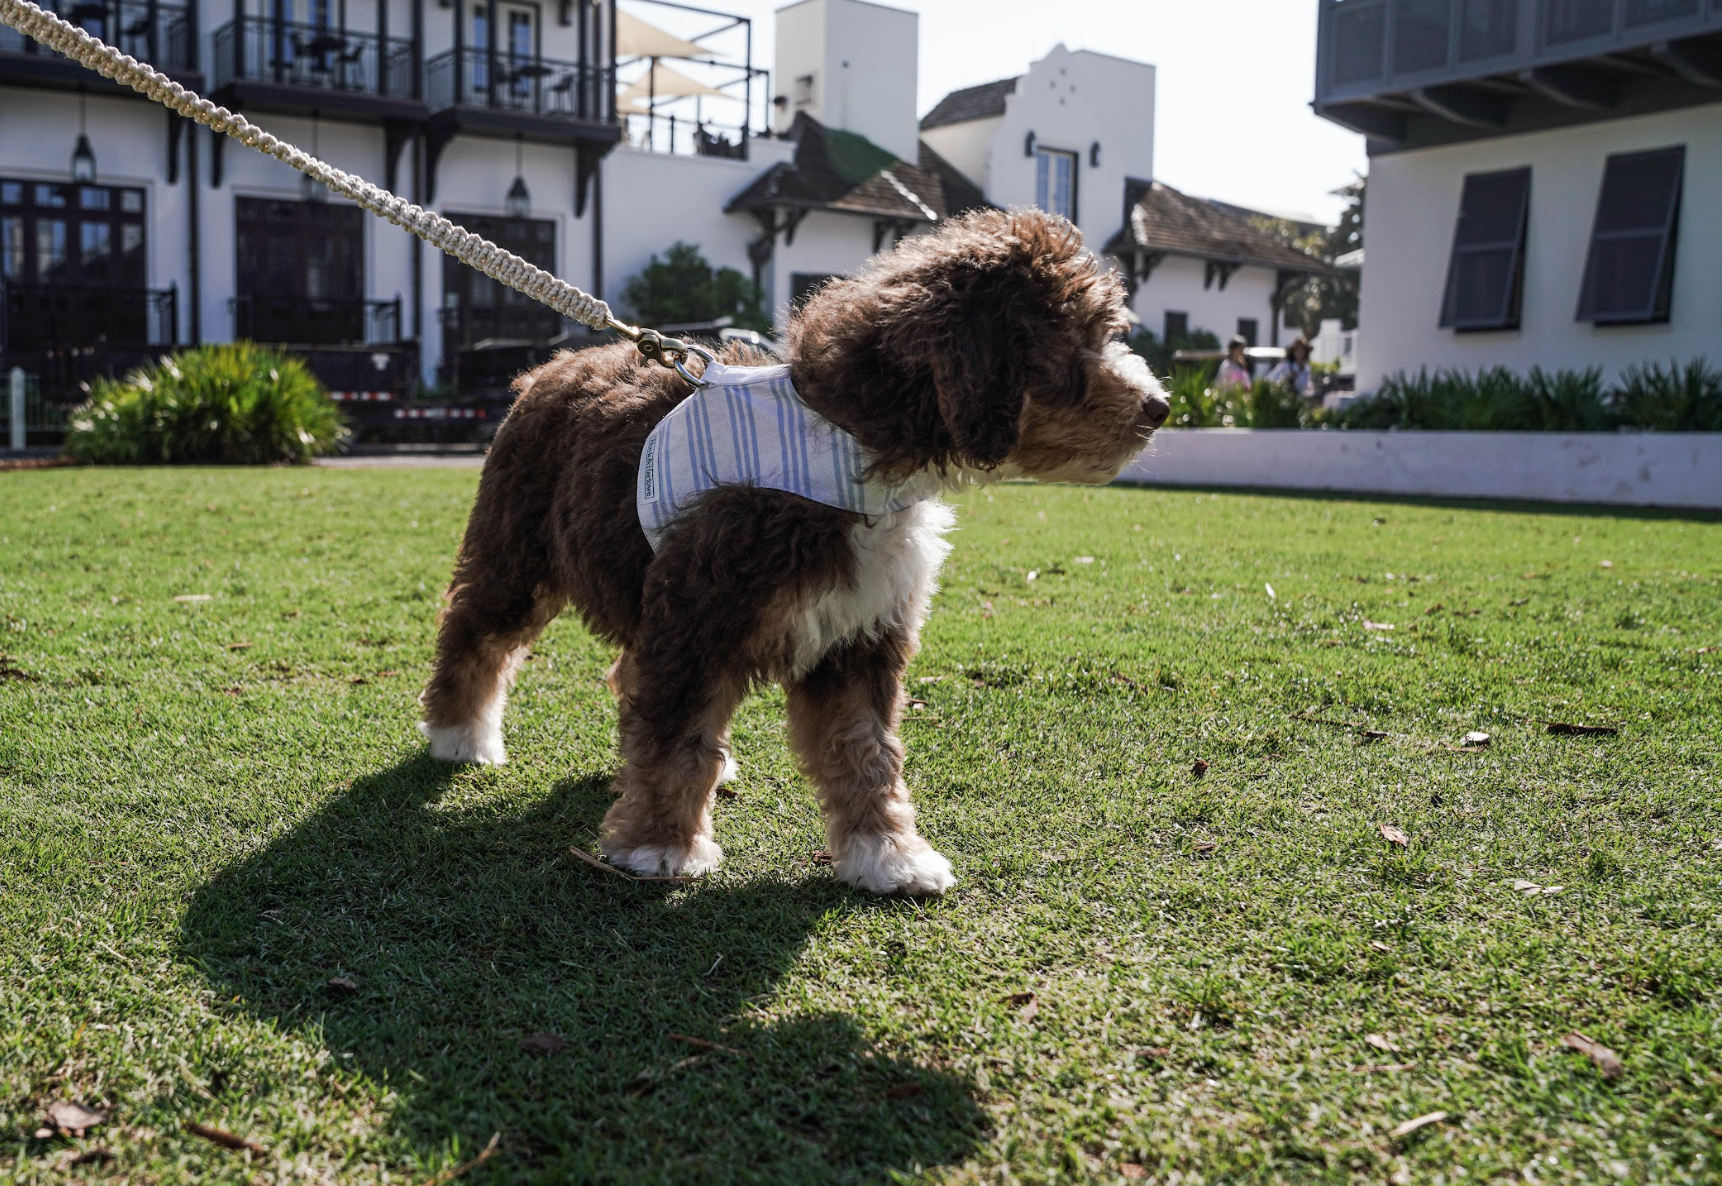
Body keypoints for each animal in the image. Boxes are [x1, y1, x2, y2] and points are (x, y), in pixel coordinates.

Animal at [416, 208, 1170, 895]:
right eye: (1074, 336)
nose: (1160, 406)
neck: (847, 441)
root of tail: (550, 367)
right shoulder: (700, 615)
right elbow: (677, 734)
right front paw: (660, 845)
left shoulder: (858, 633)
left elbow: (866, 750)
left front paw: (888, 855)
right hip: (521, 554)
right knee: (478, 633)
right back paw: (460, 735)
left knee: (627, 672)